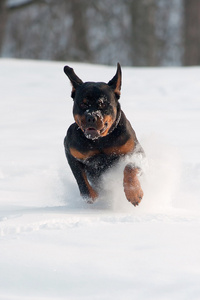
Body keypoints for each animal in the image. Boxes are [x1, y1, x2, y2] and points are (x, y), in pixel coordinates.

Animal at [64, 63, 144, 206]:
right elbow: (80, 178)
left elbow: (130, 167)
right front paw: (91, 196)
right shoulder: (70, 151)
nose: (91, 117)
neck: (100, 141)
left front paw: (134, 193)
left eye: (103, 104)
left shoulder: (136, 152)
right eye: (83, 103)